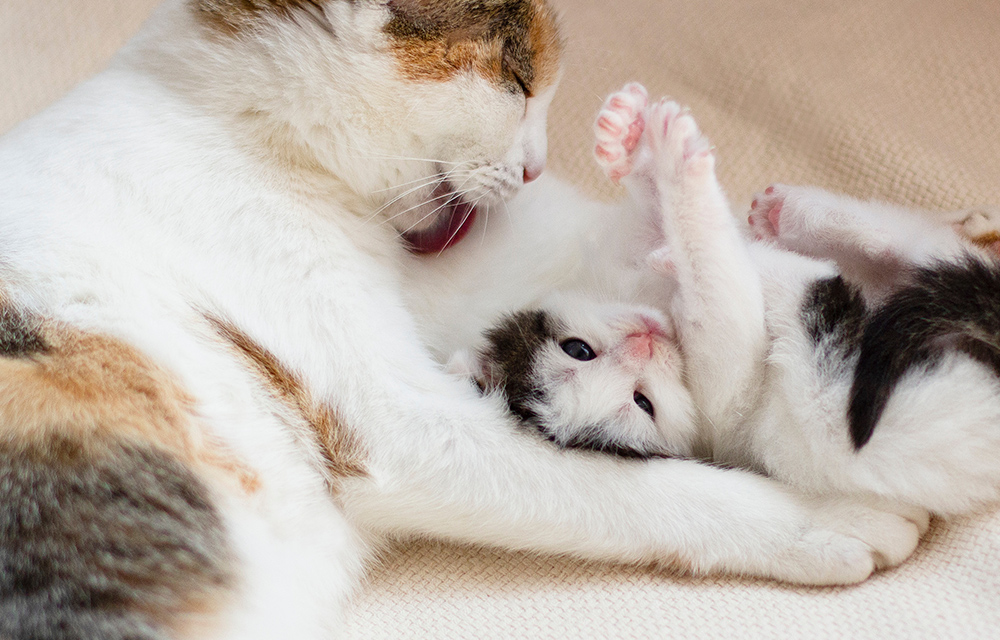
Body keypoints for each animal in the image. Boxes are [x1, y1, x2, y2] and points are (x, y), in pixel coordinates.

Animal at [0, 3, 924, 636]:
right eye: (518, 78)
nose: (537, 165)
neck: (223, 114)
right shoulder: (397, 422)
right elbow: (631, 482)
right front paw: (827, 518)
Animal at [458, 84, 1000, 516]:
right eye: (642, 402)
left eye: (577, 349)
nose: (643, 342)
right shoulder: (725, 402)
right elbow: (718, 288)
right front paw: (678, 166)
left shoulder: (617, 258)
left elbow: (652, 221)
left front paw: (628, 137)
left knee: (901, 243)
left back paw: (791, 215)